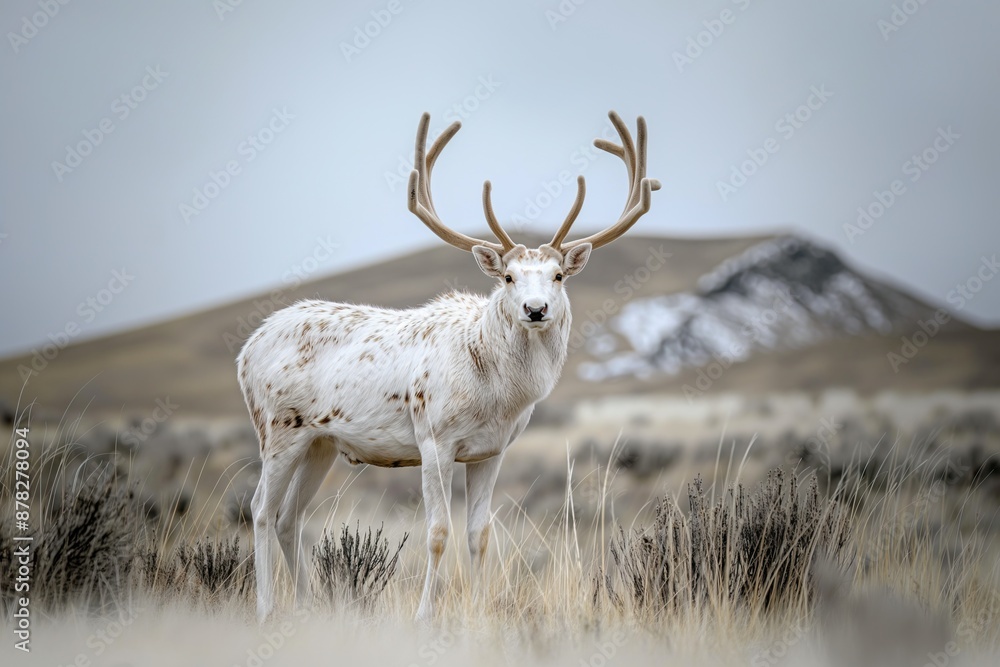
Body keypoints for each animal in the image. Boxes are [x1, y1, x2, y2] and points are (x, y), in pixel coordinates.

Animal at [236, 110, 660, 623]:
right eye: (508, 277)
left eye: (558, 276)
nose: (536, 309)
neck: (499, 394)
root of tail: (247, 350)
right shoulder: (434, 440)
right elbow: (437, 532)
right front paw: (425, 615)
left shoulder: (491, 451)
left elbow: (480, 533)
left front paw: (479, 610)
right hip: (278, 429)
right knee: (260, 508)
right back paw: (266, 609)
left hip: (319, 442)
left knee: (289, 516)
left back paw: (307, 606)